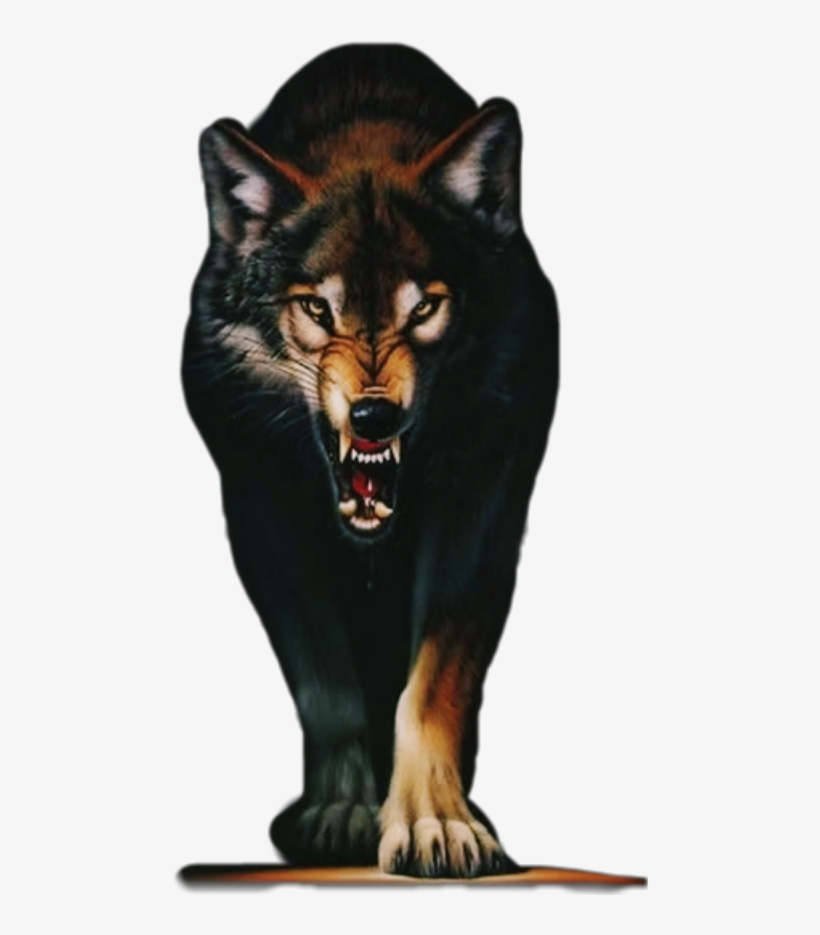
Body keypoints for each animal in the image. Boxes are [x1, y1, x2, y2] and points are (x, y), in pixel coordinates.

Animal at [183, 44, 559, 878]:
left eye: (424, 308)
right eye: (317, 309)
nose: (373, 415)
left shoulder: (483, 512)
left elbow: (435, 684)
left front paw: (436, 823)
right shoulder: (261, 512)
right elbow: (328, 683)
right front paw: (346, 812)